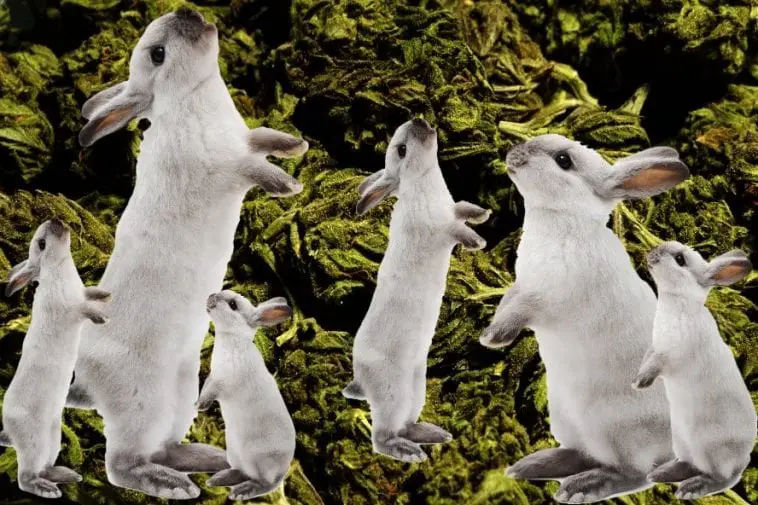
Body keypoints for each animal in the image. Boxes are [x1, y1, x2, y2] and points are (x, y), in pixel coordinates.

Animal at [0, 219, 110, 499]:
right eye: (42, 244)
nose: (57, 221)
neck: (60, 267)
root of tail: (9, 430)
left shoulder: (81, 293)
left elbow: (90, 293)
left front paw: (106, 295)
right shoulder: (69, 308)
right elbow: (83, 309)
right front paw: (101, 318)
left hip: (53, 439)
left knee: (44, 466)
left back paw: (66, 475)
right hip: (35, 441)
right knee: (25, 477)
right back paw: (47, 490)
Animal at [199, 291, 296, 500]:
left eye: (233, 305)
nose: (211, 296)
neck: (233, 341)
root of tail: (282, 471)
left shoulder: (222, 383)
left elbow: (210, 393)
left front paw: (199, 406)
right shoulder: (213, 377)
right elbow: (206, 387)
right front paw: (197, 403)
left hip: (258, 461)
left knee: (266, 484)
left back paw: (241, 492)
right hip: (235, 453)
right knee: (243, 472)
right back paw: (218, 479)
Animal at [343, 118, 490, 463]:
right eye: (402, 150)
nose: (419, 121)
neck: (423, 181)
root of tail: (360, 380)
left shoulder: (452, 209)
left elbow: (463, 209)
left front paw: (483, 214)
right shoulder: (438, 228)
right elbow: (456, 229)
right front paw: (477, 242)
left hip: (416, 387)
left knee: (405, 423)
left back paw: (432, 434)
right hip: (393, 392)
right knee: (381, 437)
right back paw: (409, 452)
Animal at [480, 135, 690, 503]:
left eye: (564, 161)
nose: (513, 155)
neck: (563, 219)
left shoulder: (546, 298)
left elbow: (520, 312)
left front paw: (493, 338)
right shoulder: (521, 287)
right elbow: (508, 302)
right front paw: (490, 330)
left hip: (612, 430)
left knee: (634, 474)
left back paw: (583, 487)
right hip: (566, 419)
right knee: (583, 454)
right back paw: (535, 465)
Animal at [633, 242, 756, 499]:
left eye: (680, 259)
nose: (651, 255)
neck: (678, 302)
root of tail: (742, 459)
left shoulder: (671, 355)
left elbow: (656, 365)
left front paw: (641, 383)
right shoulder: (654, 347)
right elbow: (647, 359)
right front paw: (636, 379)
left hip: (709, 450)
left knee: (722, 479)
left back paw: (691, 488)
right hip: (681, 441)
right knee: (690, 464)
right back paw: (662, 473)